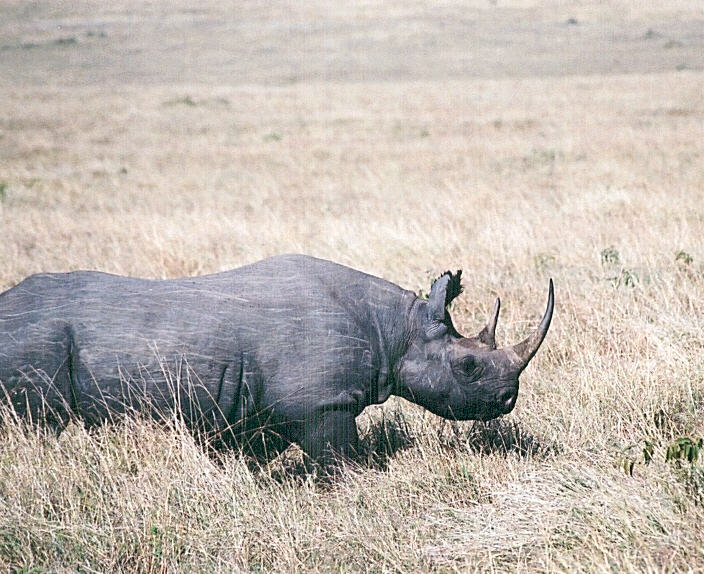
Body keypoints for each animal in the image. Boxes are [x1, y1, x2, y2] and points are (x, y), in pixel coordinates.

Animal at [0, 254, 553, 465]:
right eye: (468, 367)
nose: (508, 400)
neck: (397, 328)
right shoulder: (322, 403)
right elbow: (343, 461)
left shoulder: (254, 401)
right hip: (34, 341)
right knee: (39, 424)